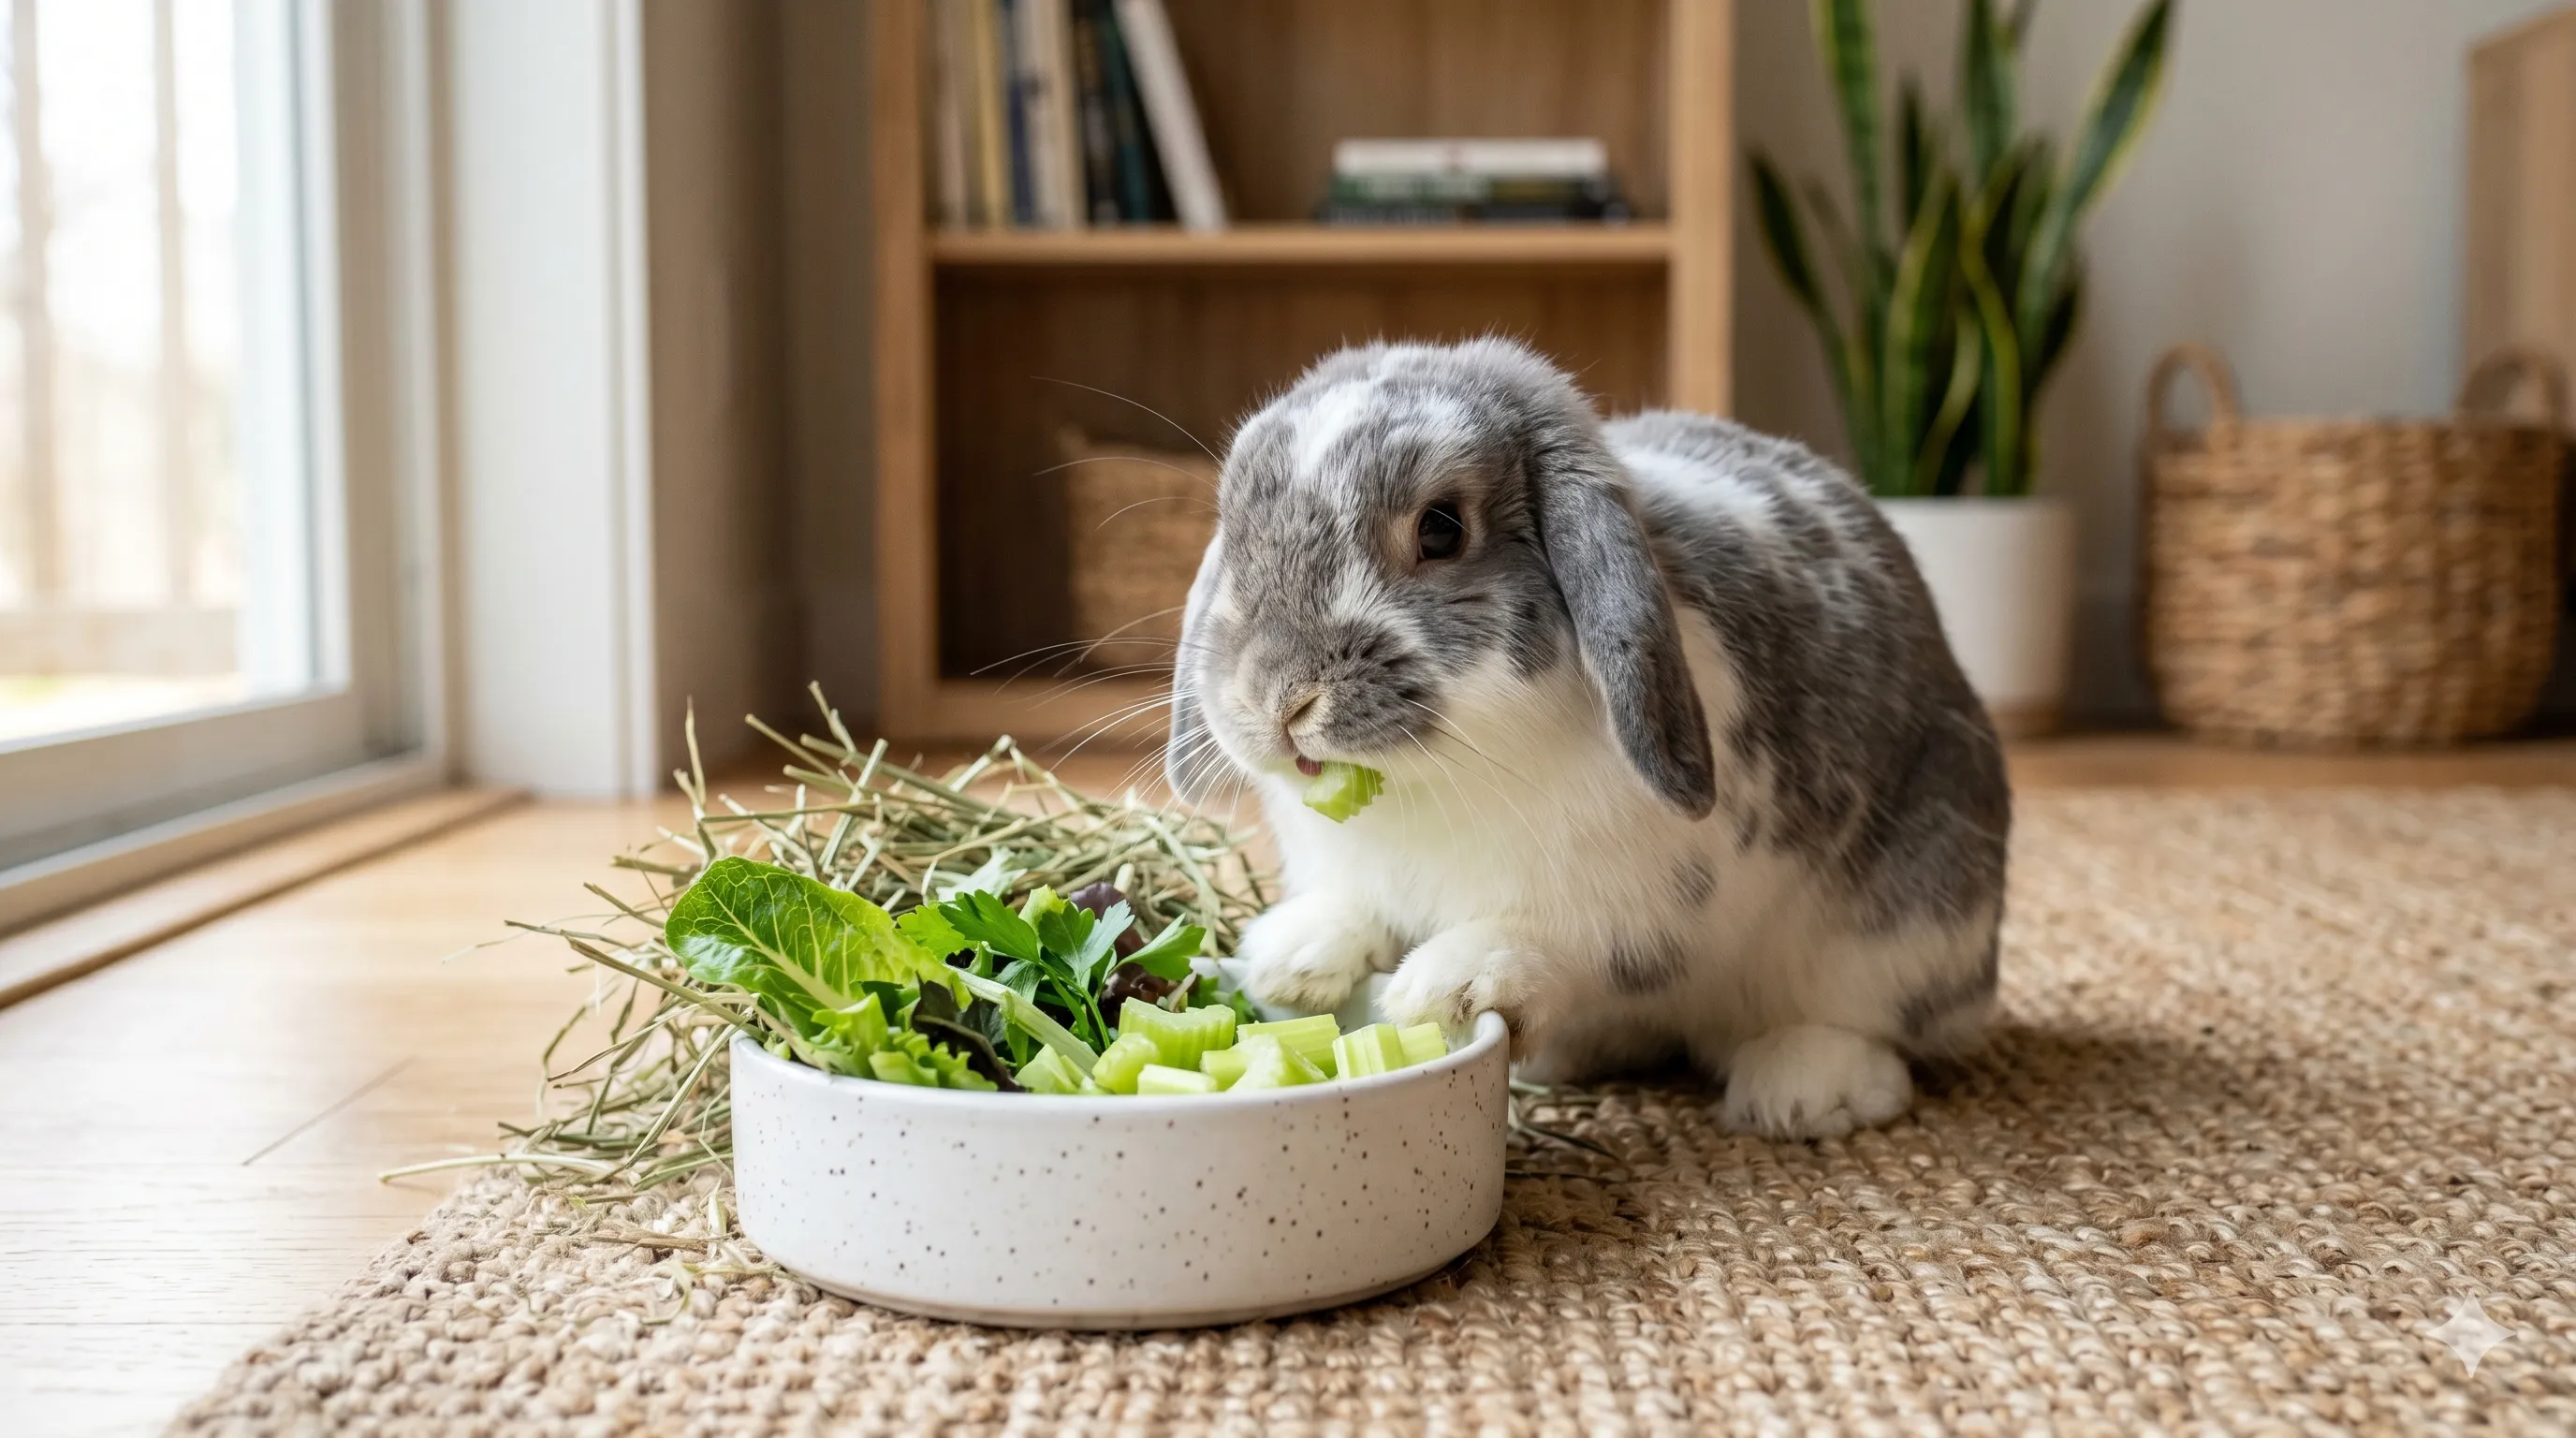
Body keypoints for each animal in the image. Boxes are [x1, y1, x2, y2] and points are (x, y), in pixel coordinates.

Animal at [1163, 337, 2010, 1140]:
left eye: (1441, 528)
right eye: (1236, 531)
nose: (1276, 697)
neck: (1433, 782)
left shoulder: (1637, 909)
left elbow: (1563, 945)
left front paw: (1449, 986)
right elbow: (1353, 910)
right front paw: (1290, 960)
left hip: (1911, 916)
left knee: (1874, 1029)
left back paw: (1803, 1090)